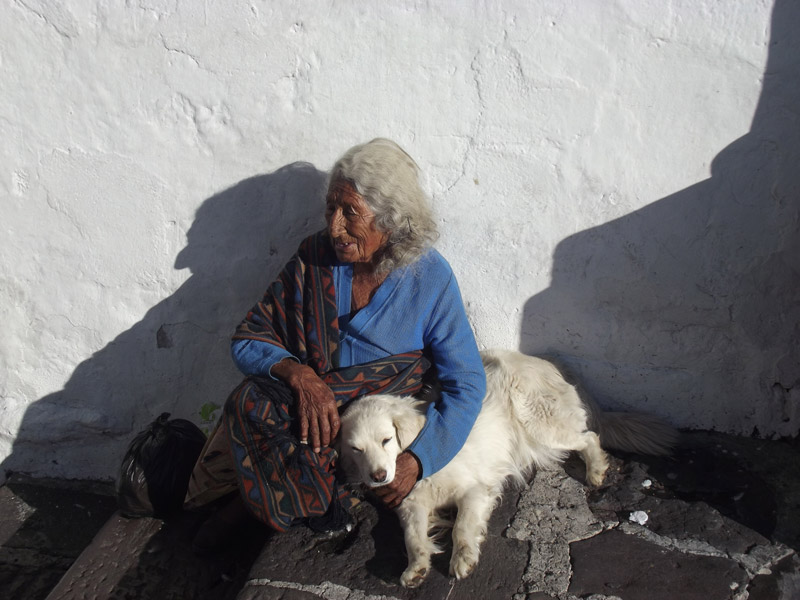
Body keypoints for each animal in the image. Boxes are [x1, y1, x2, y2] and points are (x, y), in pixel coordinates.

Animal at [338, 350, 676, 588]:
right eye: (356, 449)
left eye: (386, 439)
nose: (378, 477)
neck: (424, 453)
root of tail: (550, 363)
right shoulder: (411, 505)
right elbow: (413, 539)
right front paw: (416, 567)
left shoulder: (475, 490)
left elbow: (461, 526)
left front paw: (464, 558)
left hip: (540, 428)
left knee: (590, 436)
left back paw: (595, 470)